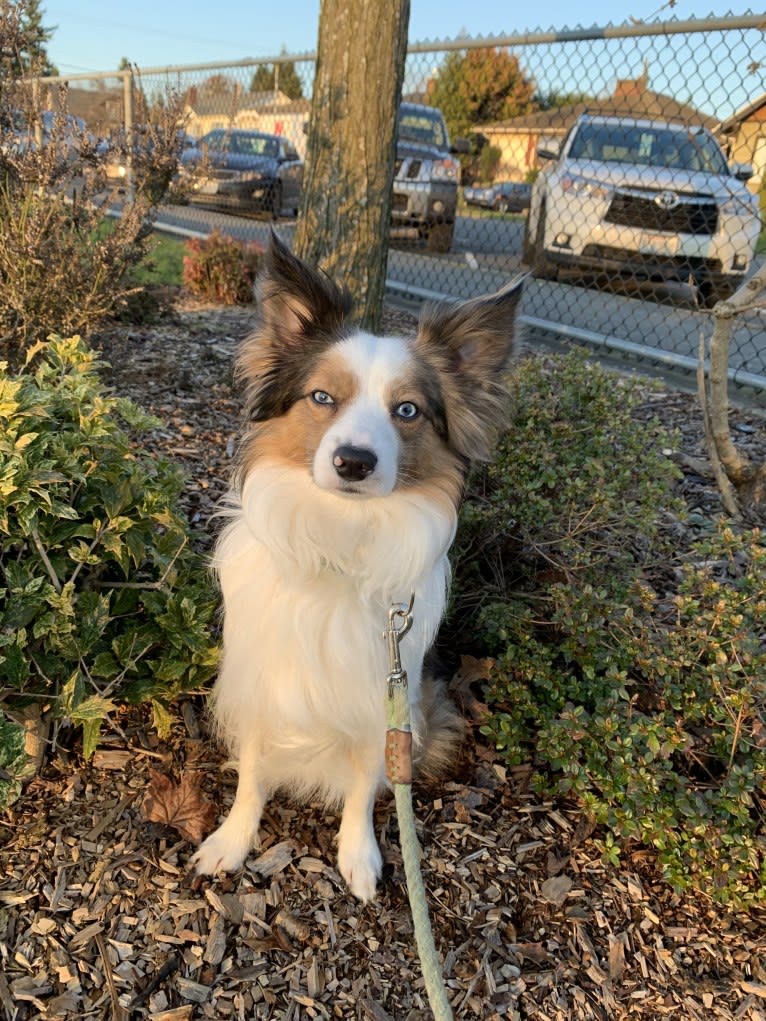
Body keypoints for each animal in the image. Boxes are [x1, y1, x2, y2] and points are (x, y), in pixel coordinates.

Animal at [195, 233, 527, 902]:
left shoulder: (385, 697)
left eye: (408, 411)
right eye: (323, 397)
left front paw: (358, 855)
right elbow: (253, 771)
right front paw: (233, 840)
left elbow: (364, 785)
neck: (339, 546)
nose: (353, 461)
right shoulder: (261, 682)